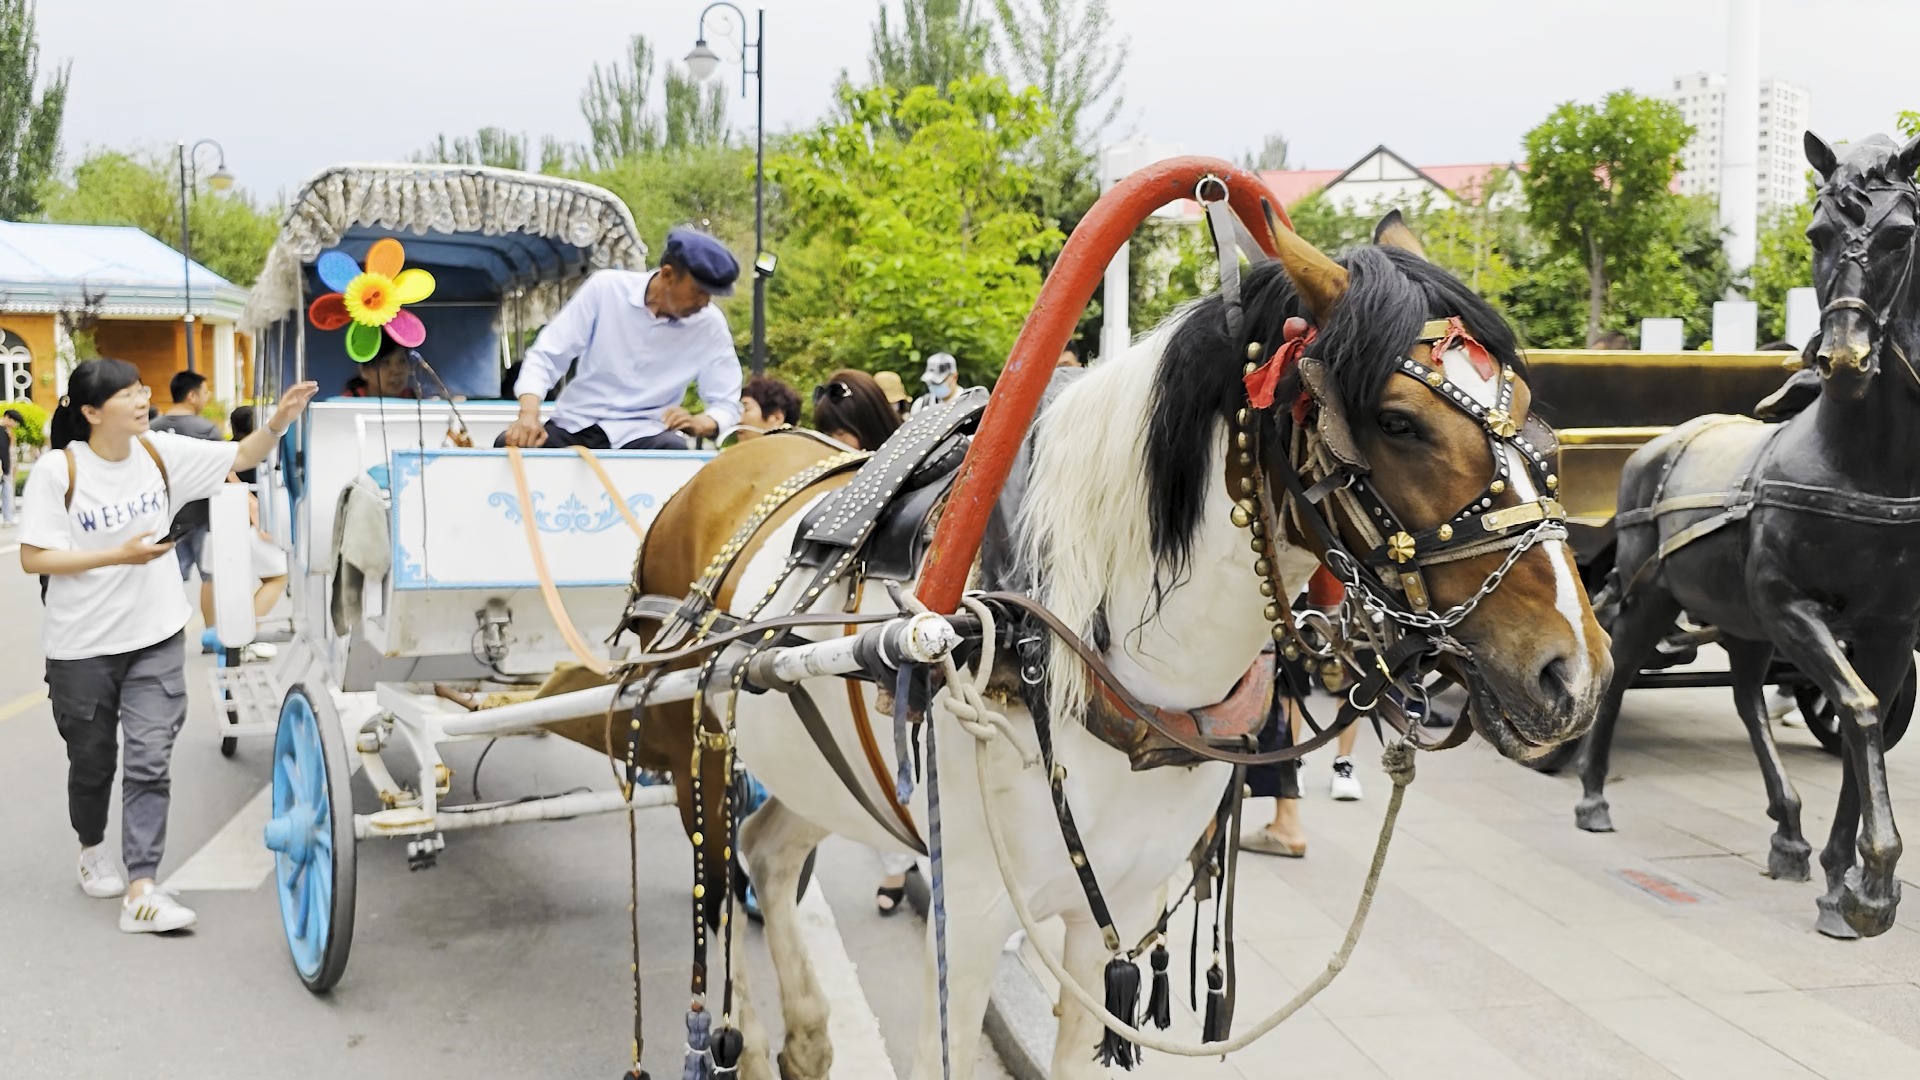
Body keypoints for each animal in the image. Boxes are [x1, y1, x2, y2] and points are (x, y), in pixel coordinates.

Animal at [564, 220, 1605, 1076]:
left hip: (816, 773)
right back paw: (740, 1035)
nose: (1576, 671)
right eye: (1397, 422)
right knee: (716, 884)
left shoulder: (1122, 909)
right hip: (699, 745)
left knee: (768, 858)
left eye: (1531, 410)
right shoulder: (971, 917)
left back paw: (809, 1039)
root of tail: (724, 468)